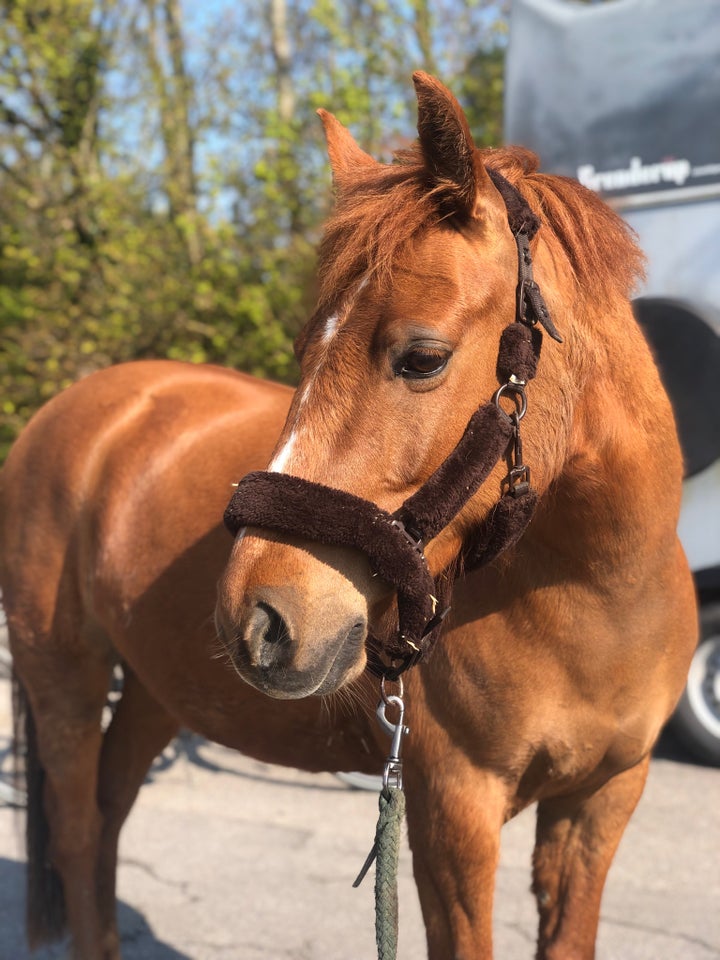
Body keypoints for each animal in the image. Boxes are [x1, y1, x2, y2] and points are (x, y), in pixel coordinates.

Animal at [0, 75, 696, 960]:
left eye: (423, 358)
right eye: (306, 350)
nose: (259, 620)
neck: (597, 599)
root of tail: (74, 411)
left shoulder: (600, 803)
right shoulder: (453, 813)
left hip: (154, 688)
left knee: (107, 817)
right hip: (64, 678)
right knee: (80, 831)